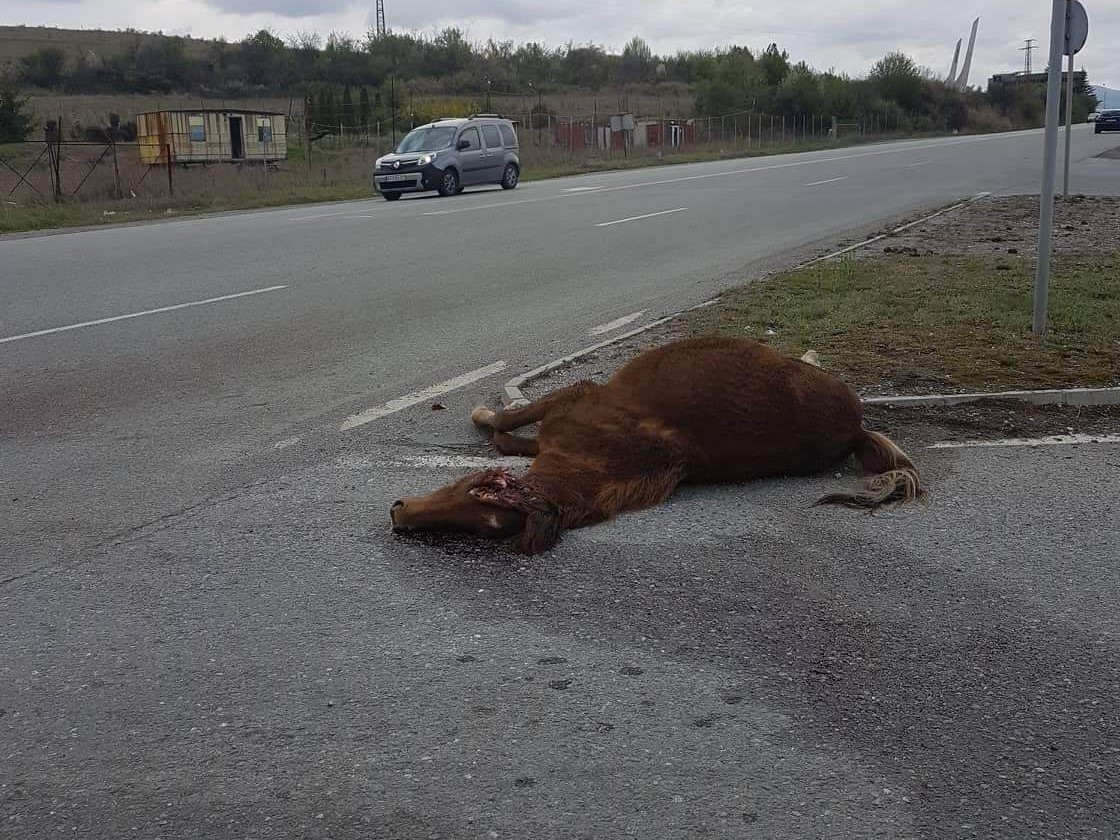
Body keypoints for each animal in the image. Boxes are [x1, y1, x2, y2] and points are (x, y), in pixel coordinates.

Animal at [389, 338, 922, 555]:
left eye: (480, 507)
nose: (399, 513)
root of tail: (854, 427)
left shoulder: (577, 393)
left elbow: (503, 426)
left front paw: (482, 413)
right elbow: (511, 438)